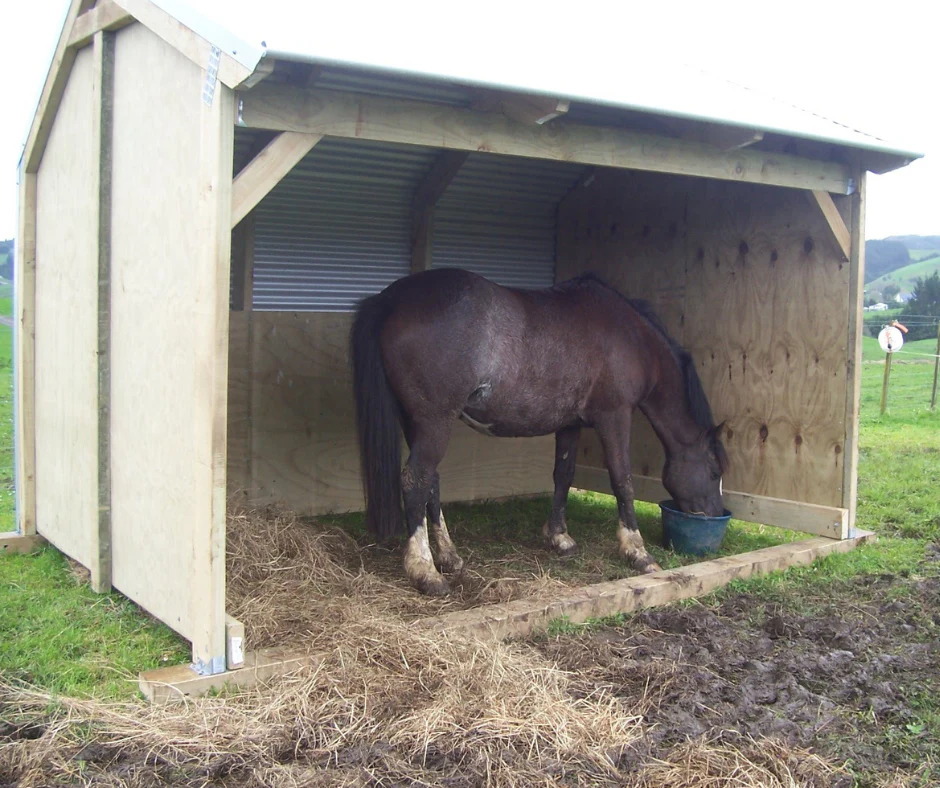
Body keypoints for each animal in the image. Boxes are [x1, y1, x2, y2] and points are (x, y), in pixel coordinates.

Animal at [350, 268, 728, 595]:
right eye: (714, 470)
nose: (714, 514)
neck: (630, 337)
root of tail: (392, 299)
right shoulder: (615, 417)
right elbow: (623, 480)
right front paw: (637, 552)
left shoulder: (571, 424)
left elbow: (564, 474)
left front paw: (559, 537)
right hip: (434, 422)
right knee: (415, 481)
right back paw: (425, 571)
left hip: (415, 421)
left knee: (431, 482)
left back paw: (448, 555)